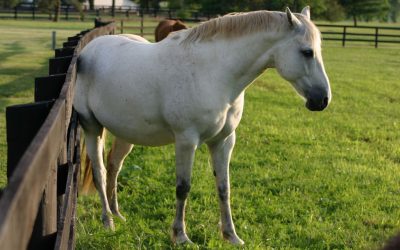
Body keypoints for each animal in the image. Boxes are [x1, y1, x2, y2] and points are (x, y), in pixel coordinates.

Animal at [74, 6, 332, 245]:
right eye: (307, 52)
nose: (323, 100)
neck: (213, 73)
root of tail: (88, 50)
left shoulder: (223, 141)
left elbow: (224, 187)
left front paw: (231, 235)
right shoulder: (186, 141)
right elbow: (183, 187)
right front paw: (180, 236)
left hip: (126, 134)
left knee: (114, 166)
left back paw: (117, 214)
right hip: (92, 128)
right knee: (99, 172)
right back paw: (107, 222)